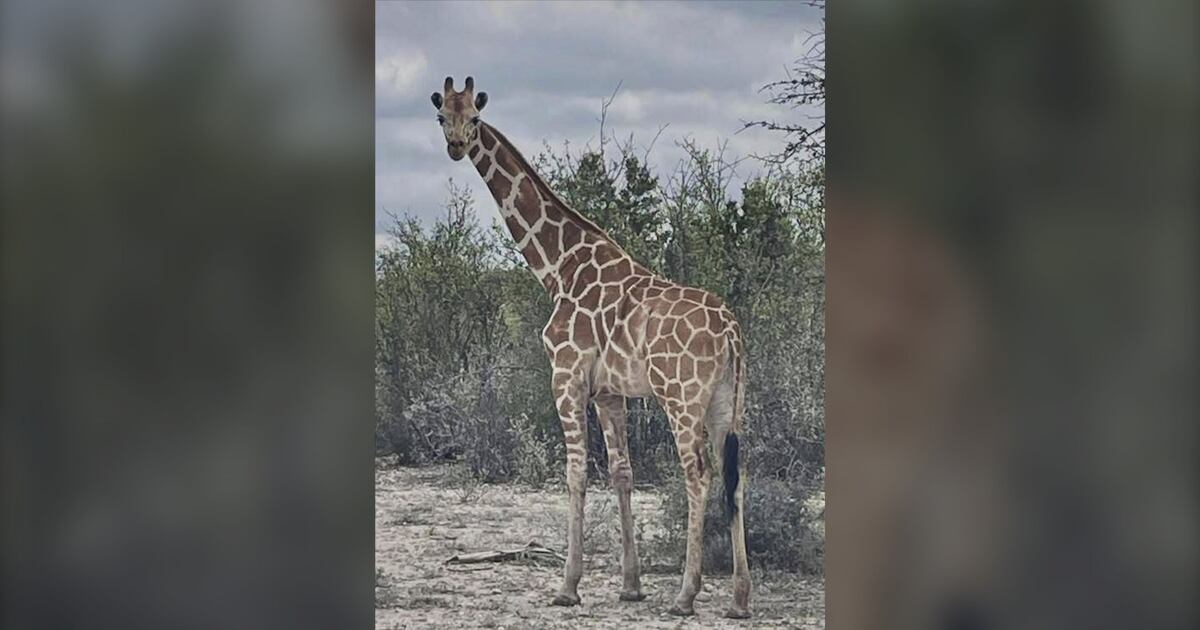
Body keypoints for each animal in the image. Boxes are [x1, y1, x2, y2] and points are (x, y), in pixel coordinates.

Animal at [431, 76, 751, 619]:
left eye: (474, 117)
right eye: (441, 116)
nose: (455, 146)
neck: (558, 267)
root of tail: (730, 329)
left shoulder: (566, 375)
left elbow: (576, 472)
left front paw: (568, 585)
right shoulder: (608, 391)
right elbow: (622, 473)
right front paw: (630, 585)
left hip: (681, 397)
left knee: (699, 474)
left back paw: (686, 595)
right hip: (728, 401)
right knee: (737, 474)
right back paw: (739, 599)